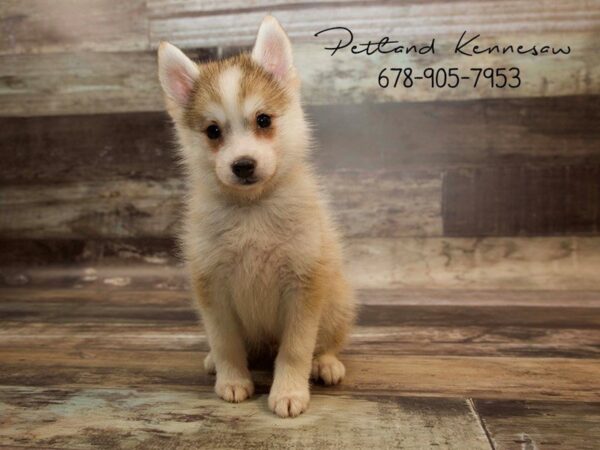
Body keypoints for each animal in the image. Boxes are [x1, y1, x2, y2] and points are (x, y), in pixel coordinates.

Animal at [158, 17, 356, 418]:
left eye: (263, 120)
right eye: (213, 131)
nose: (243, 165)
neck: (252, 210)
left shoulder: (303, 287)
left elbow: (296, 348)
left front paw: (289, 391)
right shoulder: (213, 289)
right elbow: (225, 342)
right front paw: (232, 379)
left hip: (336, 303)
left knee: (327, 342)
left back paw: (326, 363)